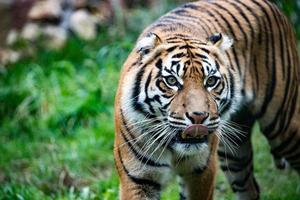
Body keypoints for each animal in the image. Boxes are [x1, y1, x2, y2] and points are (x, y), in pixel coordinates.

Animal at [113, 0, 300, 199]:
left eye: (211, 81)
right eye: (171, 81)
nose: (198, 117)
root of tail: (272, 4)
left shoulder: (202, 172)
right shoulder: (138, 179)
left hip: (283, 125)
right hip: (235, 149)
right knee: (250, 187)